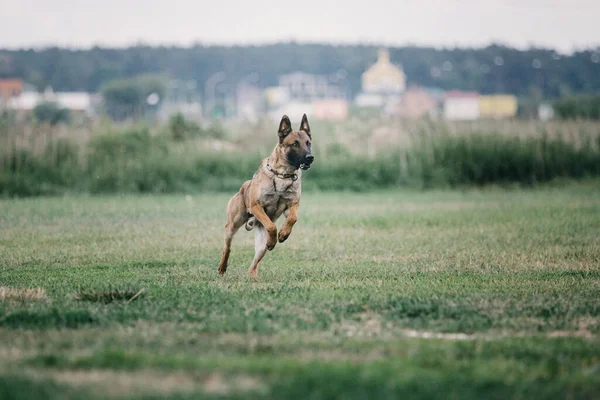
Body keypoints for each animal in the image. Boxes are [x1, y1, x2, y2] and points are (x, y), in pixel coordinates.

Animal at [219, 115, 314, 278]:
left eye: (308, 143)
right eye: (295, 144)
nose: (310, 157)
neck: (283, 175)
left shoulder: (292, 205)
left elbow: (293, 219)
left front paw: (283, 234)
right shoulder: (257, 206)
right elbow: (271, 226)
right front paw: (277, 236)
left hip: (260, 247)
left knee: (253, 265)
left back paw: (254, 276)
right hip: (232, 226)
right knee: (227, 247)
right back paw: (222, 267)